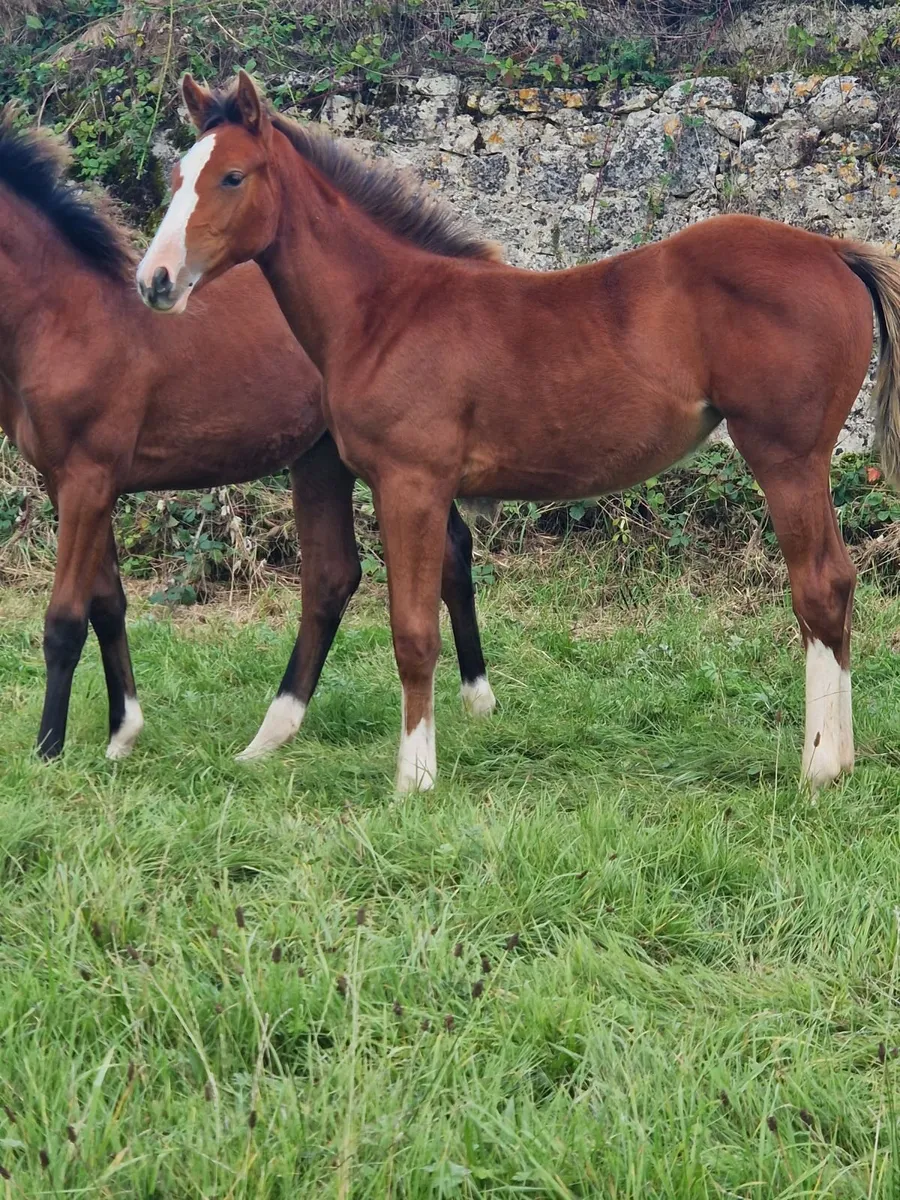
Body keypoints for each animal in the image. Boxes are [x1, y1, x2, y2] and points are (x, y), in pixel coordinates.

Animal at [0, 110, 495, 762]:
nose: (157, 284)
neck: (62, 317)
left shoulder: (88, 479)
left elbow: (65, 618)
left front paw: (48, 754)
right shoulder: (73, 483)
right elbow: (107, 603)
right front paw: (122, 733)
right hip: (328, 459)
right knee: (371, 568)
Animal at [137, 70, 900, 793]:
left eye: (233, 176)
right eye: (177, 177)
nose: (155, 281)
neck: (385, 310)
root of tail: (834, 250)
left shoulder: (410, 483)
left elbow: (412, 632)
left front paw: (414, 780)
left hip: (786, 455)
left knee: (819, 587)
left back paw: (818, 767)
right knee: (838, 585)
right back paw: (843, 759)